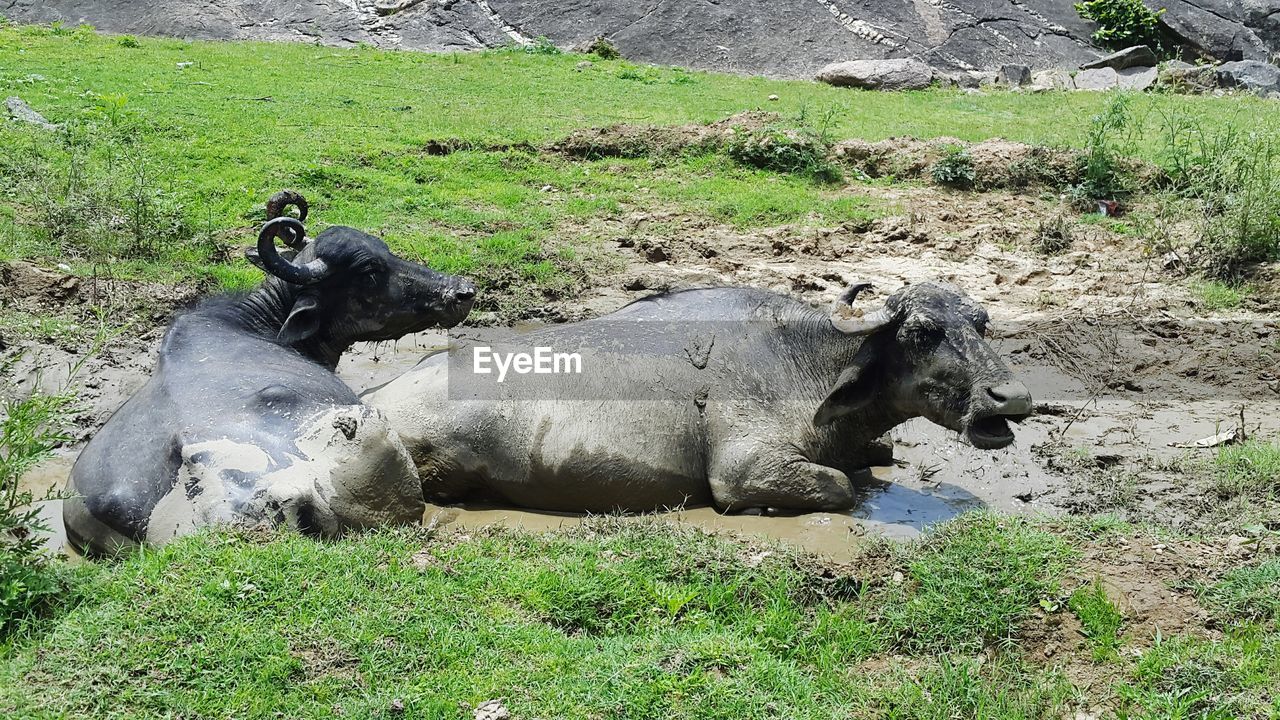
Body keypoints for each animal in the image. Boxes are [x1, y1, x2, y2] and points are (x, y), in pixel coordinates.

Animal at [366, 279, 1034, 509]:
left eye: (981, 322)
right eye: (921, 332)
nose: (1012, 398)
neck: (806, 361)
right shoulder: (744, 468)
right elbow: (842, 488)